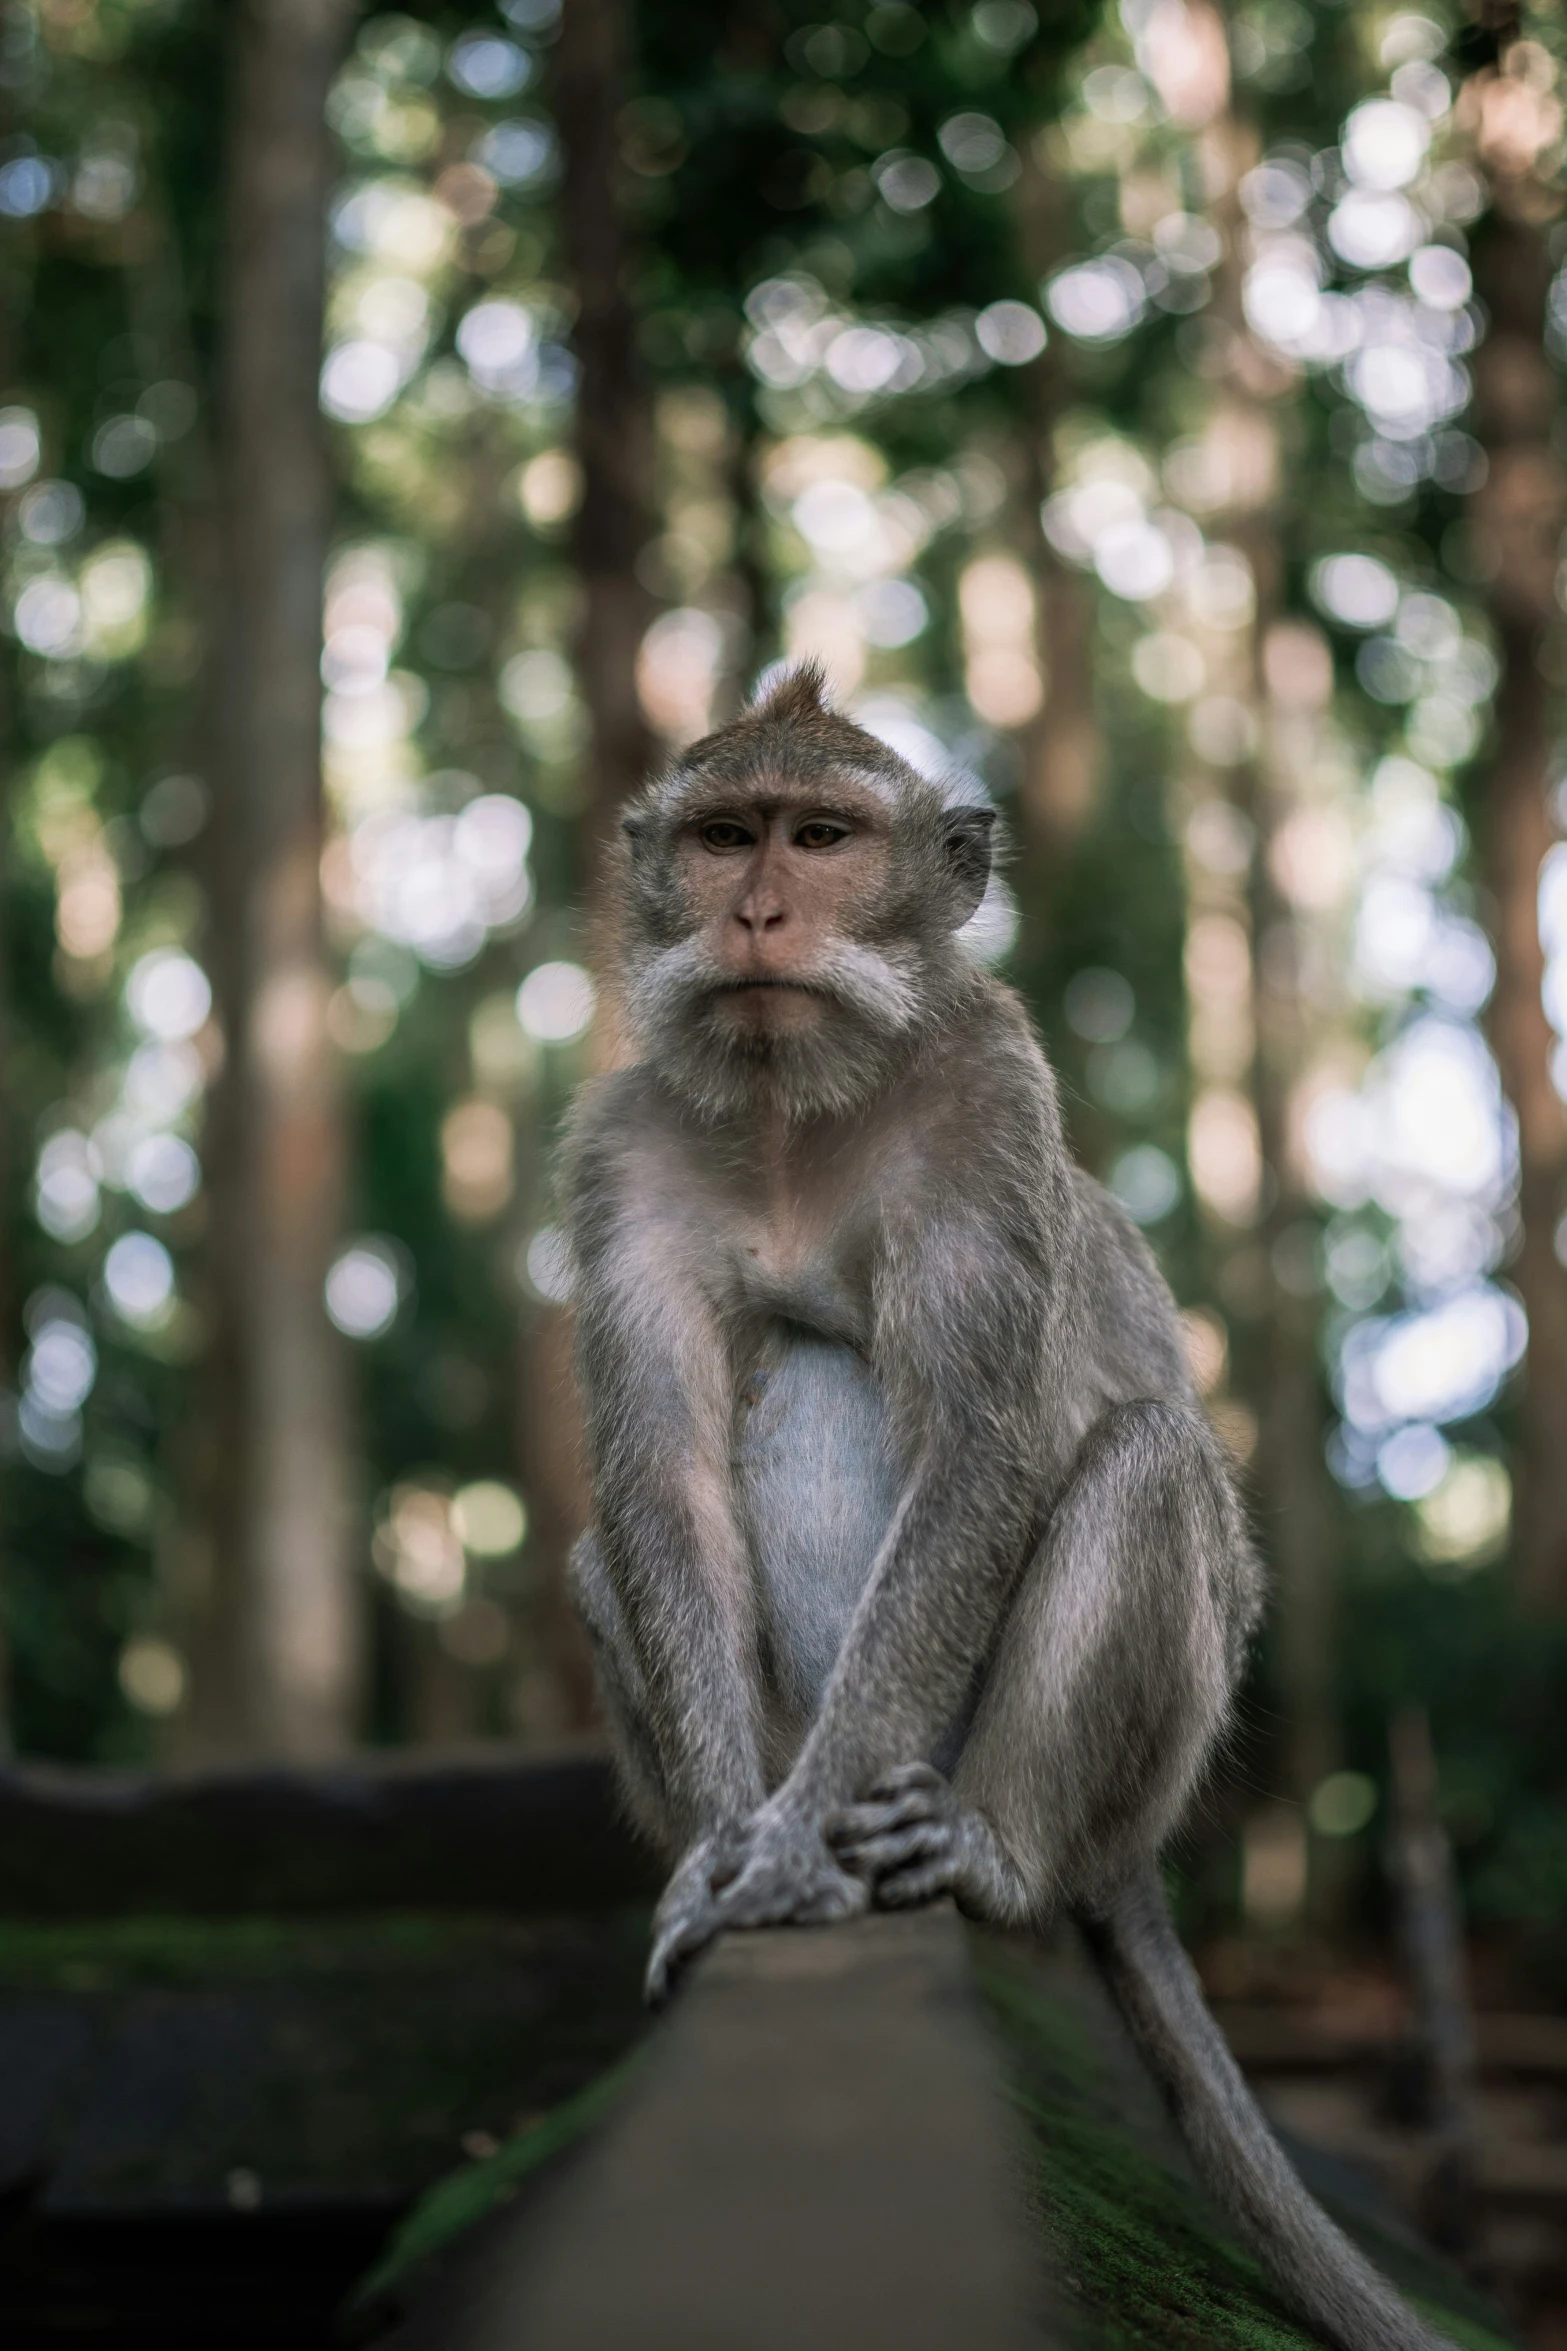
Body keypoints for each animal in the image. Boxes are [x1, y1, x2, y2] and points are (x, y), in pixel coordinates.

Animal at [563, 667, 1456, 2351]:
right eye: (722, 838)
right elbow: (657, 1488)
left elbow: (982, 1446)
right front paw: (721, 1852)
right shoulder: (621, 1150)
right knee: (608, 1548)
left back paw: (987, 1853)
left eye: (820, 837)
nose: (758, 912)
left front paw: (785, 1863)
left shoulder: (988, 1099)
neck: (790, 1105)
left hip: (1082, 1760)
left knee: (1144, 1462)